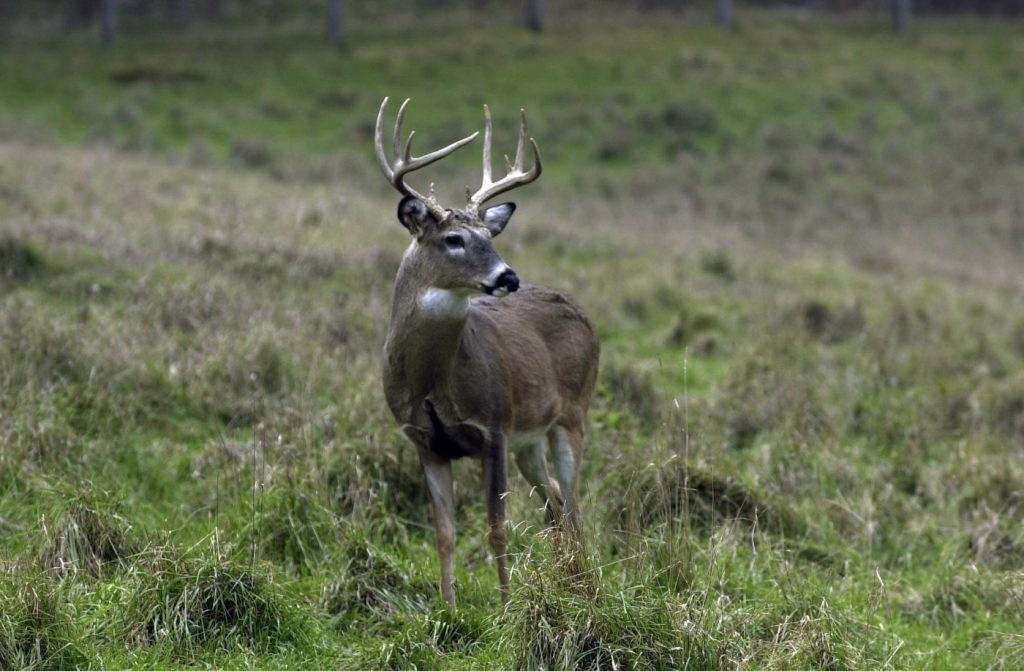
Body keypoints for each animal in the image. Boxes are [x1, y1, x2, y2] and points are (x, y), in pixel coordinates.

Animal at [374, 98, 598, 602]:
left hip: (573, 414)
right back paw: (569, 581)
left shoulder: (493, 427)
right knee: (556, 501)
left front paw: (506, 603)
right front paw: (448, 605)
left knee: (575, 507)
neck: (432, 381)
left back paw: (584, 587)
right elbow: (444, 531)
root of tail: (582, 311)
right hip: (529, 439)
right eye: (453, 239)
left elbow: (496, 528)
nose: (508, 277)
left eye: (490, 237)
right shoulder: (423, 440)